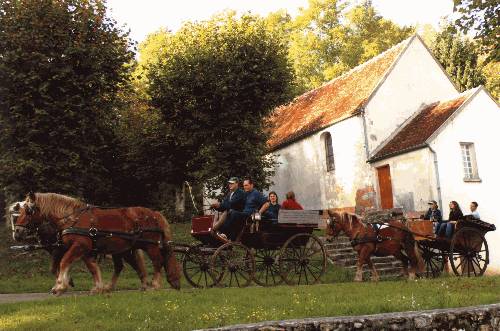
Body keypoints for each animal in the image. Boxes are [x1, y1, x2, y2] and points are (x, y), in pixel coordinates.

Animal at [14, 192, 181, 296]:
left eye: (28, 211)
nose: (17, 232)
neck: (72, 218)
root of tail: (155, 213)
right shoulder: (86, 251)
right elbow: (92, 268)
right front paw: (97, 287)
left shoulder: (79, 246)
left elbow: (64, 262)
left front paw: (60, 286)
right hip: (126, 249)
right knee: (126, 266)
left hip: (150, 245)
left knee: (158, 261)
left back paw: (155, 285)